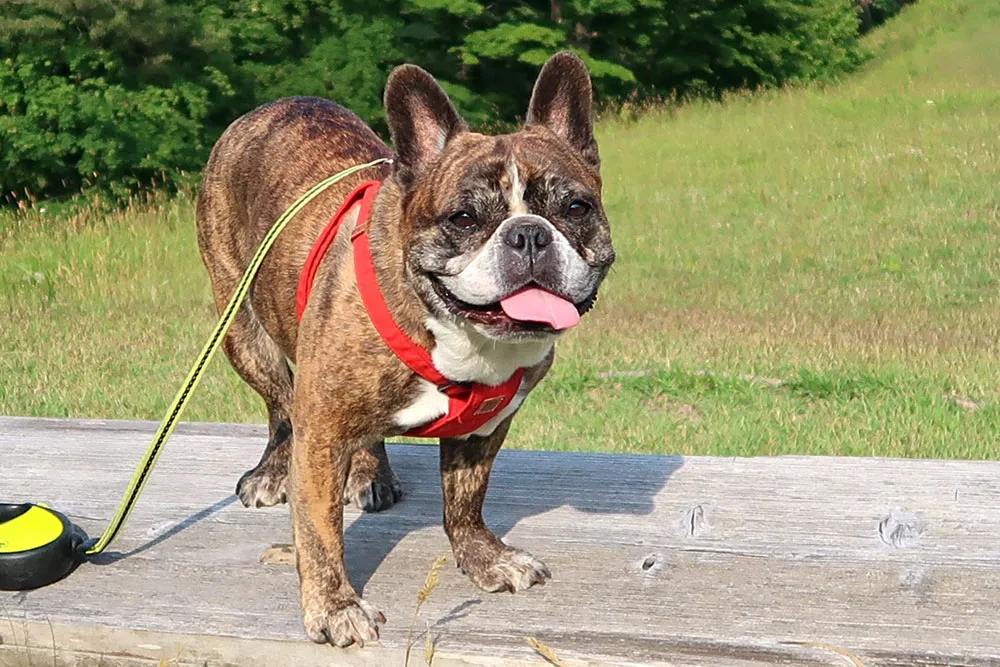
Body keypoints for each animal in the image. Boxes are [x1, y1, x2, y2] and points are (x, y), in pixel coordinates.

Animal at [194, 51, 612, 648]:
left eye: (576, 208)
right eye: (463, 218)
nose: (528, 233)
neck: (460, 332)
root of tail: (270, 108)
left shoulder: (485, 427)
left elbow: (466, 498)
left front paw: (484, 557)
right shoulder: (320, 432)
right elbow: (319, 531)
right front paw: (335, 607)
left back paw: (372, 474)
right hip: (244, 331)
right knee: (279, 403)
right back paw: (272, 474)